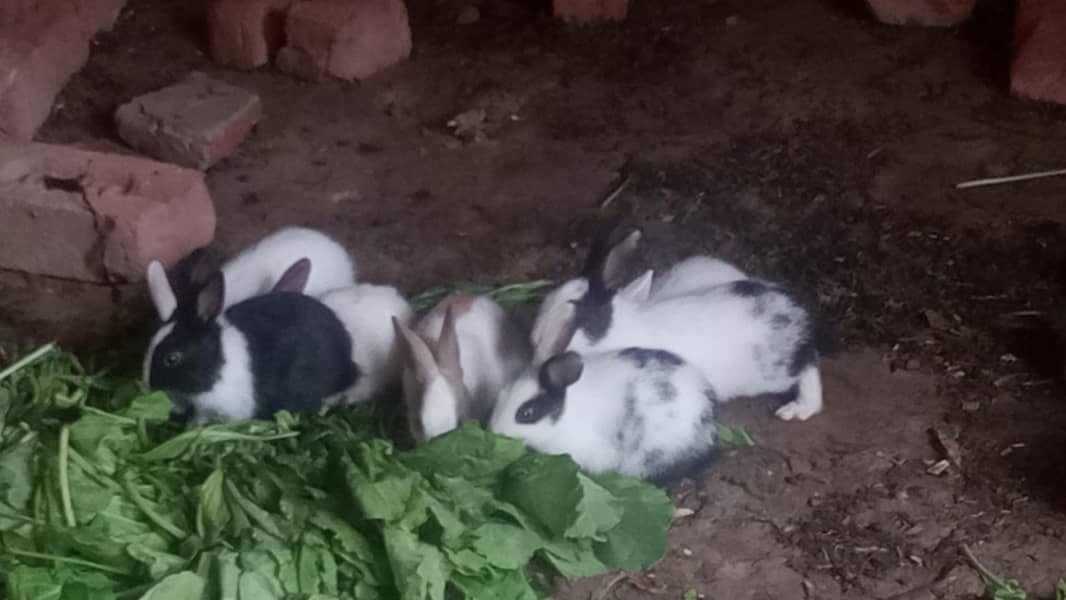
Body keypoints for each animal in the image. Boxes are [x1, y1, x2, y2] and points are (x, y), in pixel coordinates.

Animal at [143, 259, 359, 423]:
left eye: (172, 358)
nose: (147, 385)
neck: (215, 363)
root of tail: (349, 361)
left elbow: (201, 419)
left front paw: (191, 428)